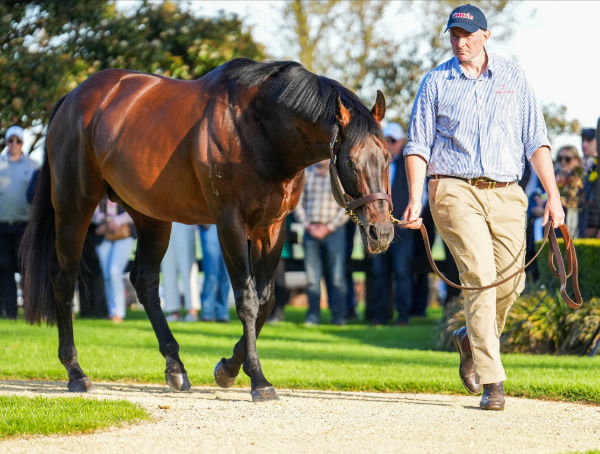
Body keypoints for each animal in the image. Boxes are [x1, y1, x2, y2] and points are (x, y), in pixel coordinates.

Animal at [19, 56, 394, 400]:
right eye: (350, 162)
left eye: (387, 158)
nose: (382, 232)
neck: (260, 130)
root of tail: (73, 97)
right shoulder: (230, 224)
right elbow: (246, 300)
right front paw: (258, 380)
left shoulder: (271, 228)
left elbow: (266, 301)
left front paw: (228, 368)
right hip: (74, 208)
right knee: (64, 280)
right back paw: (76, 372)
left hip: (151, 217)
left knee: (145, 282)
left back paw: (175, 367)